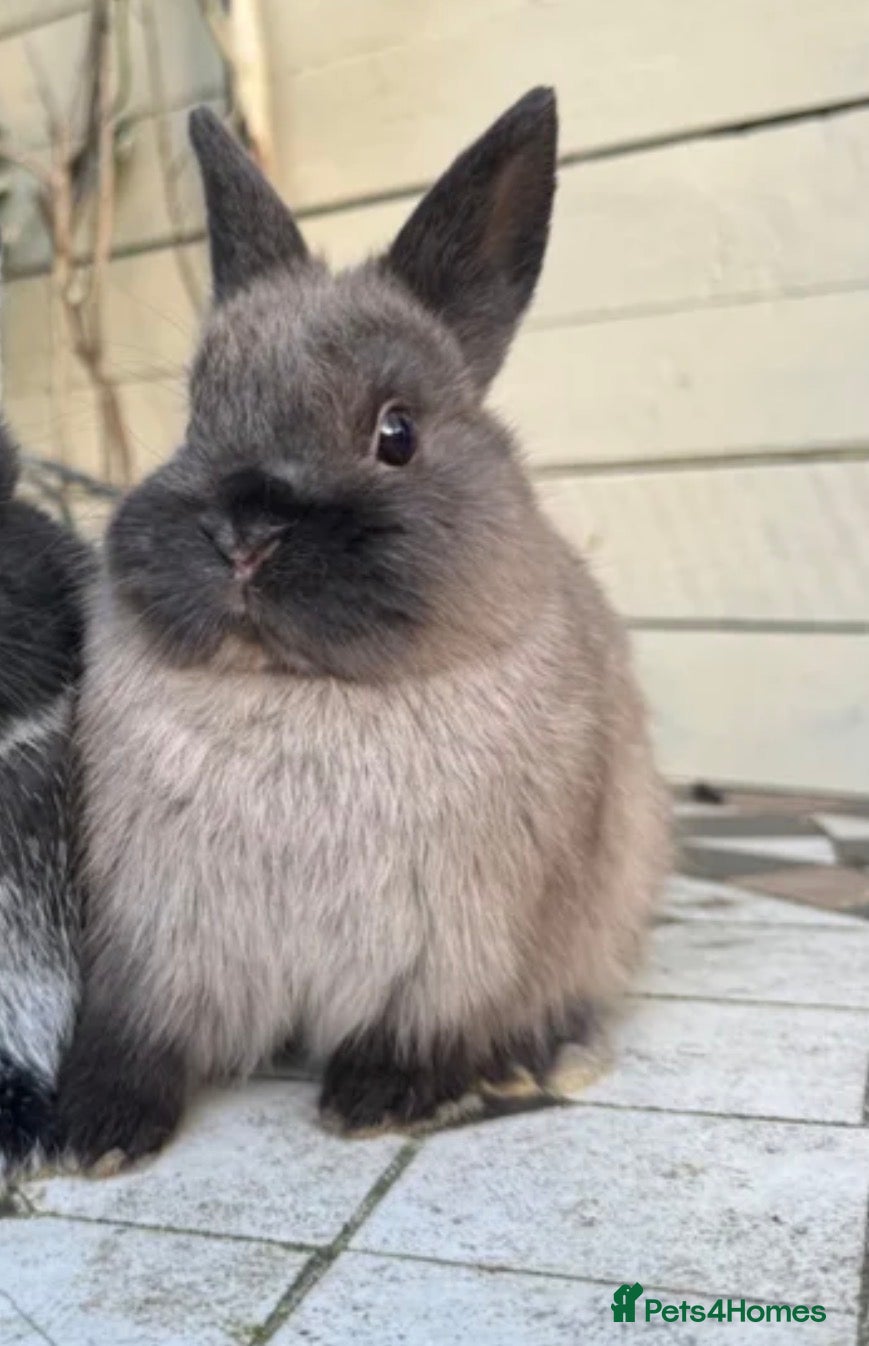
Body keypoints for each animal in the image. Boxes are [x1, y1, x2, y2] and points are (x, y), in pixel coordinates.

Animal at [57, 88, 670, 1170]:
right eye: (194, 419)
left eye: (397, 433)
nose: (244, 534)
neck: (301, 689)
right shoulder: (159, 939)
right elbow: (138, 1035)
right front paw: (95, 1132)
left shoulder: (456, 952)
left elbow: (422, 1026)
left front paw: (377, 1098)